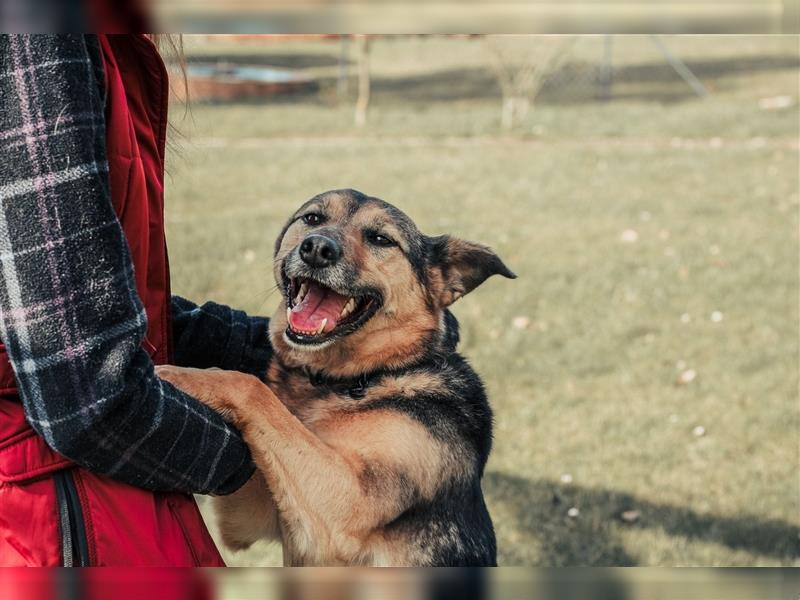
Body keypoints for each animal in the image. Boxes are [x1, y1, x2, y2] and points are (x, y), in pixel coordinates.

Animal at [156, 189, 516, 568]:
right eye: (313, 218)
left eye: (381, 239)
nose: (316, 248)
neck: (361, 378)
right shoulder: (249, 515)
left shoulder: (350, 503)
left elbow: (250, 387)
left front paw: (179, 375)